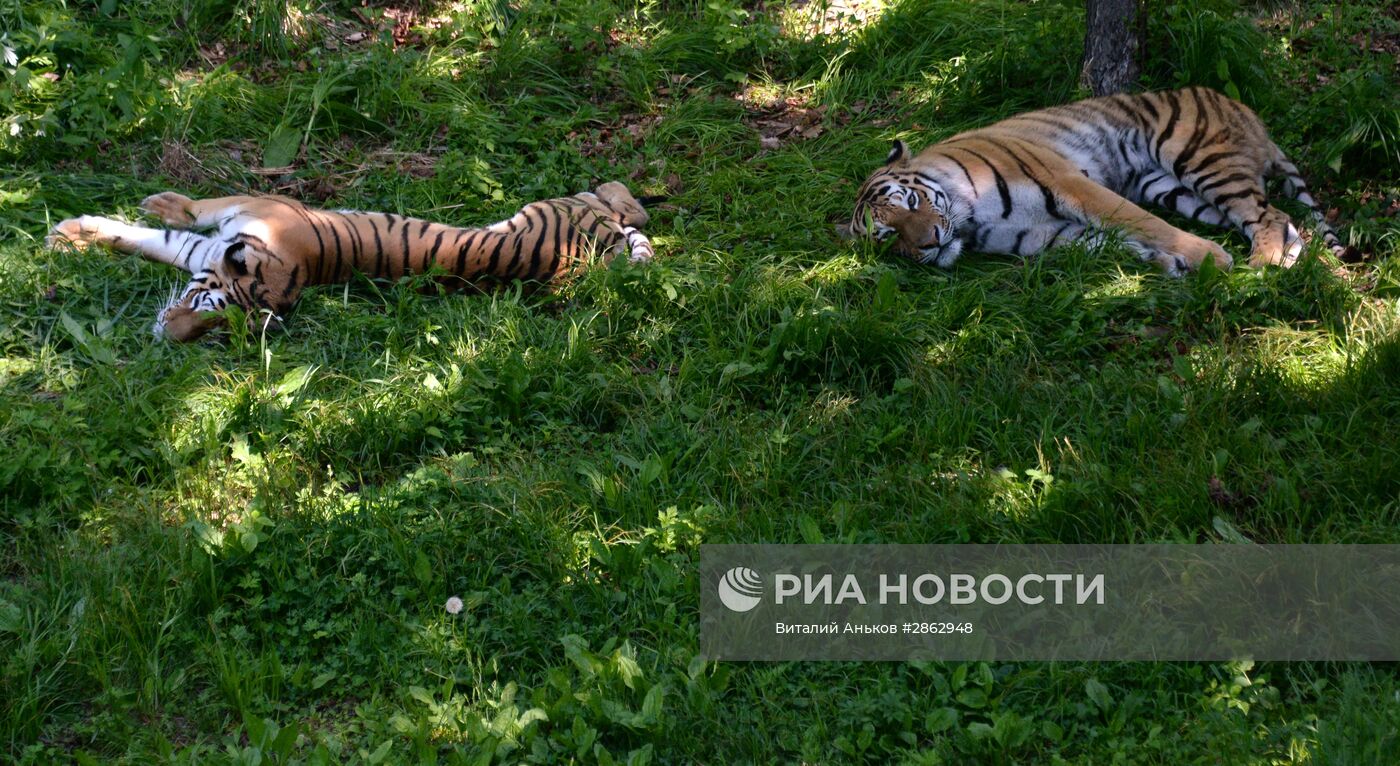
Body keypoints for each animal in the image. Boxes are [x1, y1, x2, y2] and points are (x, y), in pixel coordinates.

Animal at [47, 182, 660, 340]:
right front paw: (69, 235)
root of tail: (597, 255)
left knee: (618, 200)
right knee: (629, 211)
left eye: (211, 318)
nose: (165, 335)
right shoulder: (212, 240)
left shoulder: (249, 207)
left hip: (555, 206)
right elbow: (144, 235)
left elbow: (191, 211)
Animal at [840, 86, 1344, 275]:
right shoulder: (1044, 236)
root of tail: (1244, 109)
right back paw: (1287, 258)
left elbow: (1142, 224)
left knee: (1267, 214)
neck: (969, 220)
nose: (928, 244)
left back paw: (1260, 265)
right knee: (1283, 218)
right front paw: (1171, 265)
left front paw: (1209, 260)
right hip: (1174, 190)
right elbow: (1119, 243)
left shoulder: (1068, 182)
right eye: (887, 237)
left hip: (1198, 159)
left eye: (910, 203)